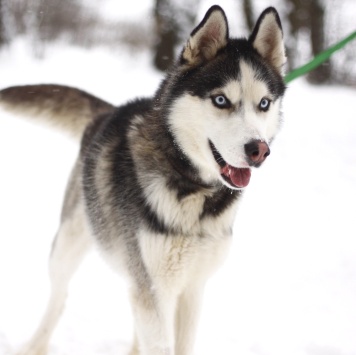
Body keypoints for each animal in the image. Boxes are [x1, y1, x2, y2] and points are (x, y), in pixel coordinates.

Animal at [0, 5, 286, 355]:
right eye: (221, 100)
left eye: (264, 104)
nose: (259, 150)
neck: (195, 193)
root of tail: (109, 112)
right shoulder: (152, 285)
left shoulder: (192, 287)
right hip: (68, 245)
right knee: (59, 297)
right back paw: (35, 344)